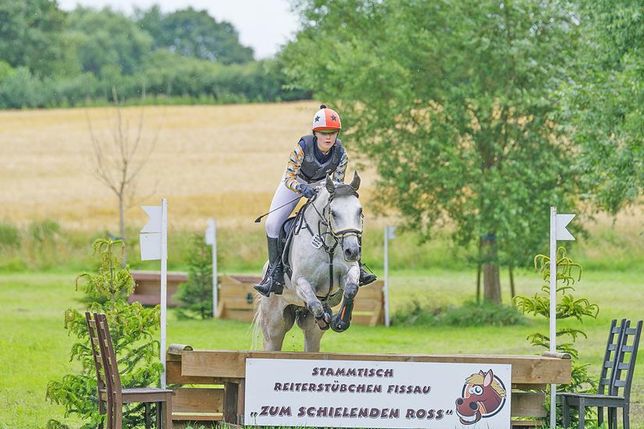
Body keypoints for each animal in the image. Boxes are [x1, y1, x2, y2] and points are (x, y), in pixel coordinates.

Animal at [255, 171, 364, 352]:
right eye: (333, 213)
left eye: (360, 211)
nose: (352, 251)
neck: (328, 246)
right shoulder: (301, 281)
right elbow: (315, 304)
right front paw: (325, 318)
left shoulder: (349, 272)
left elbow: (351, 290)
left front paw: (340, 321)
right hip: (274, 325)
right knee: (274, 339)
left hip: (310, 332)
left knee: (311, 337)